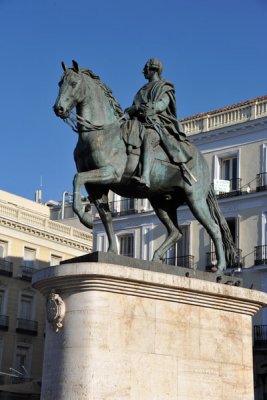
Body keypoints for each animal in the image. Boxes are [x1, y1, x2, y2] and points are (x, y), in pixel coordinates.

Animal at [54, 59, 237, 272]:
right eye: (60, 83)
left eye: (74, 83)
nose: (58, 109)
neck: (100, 132)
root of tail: (201, 161)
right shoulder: (96, 185)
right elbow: (105, 216)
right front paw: (106, 244)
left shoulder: (110, 174)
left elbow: (77, 179)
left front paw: (86, 219)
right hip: (162, 203)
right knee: (176, 231)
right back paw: (156, 258)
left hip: (195, 199)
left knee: (214, 228)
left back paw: (220, 267)